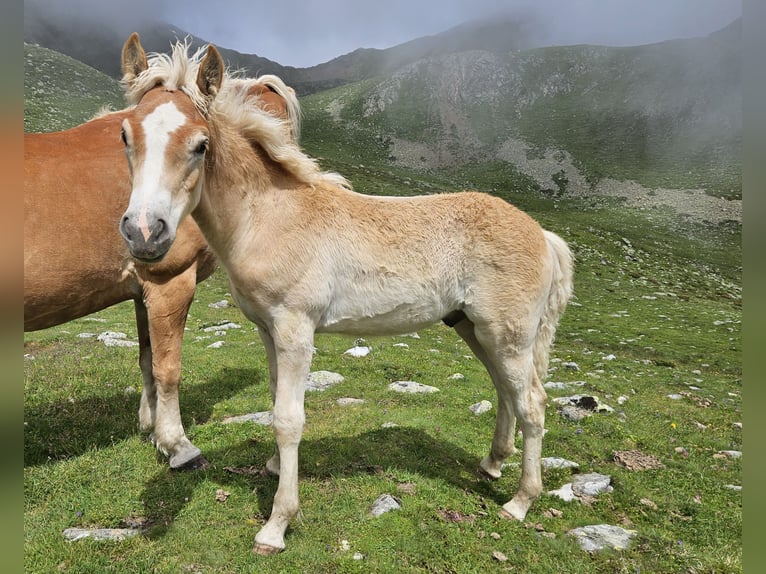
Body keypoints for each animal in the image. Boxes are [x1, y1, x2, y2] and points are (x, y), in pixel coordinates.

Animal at [24, 51, 300, 470]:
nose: (142, 230)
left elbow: (147, 360)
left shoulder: (143, 290)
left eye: (200, 144)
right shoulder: (171, 282)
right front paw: (177, 444)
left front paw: (151, 428)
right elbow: (168, 368)